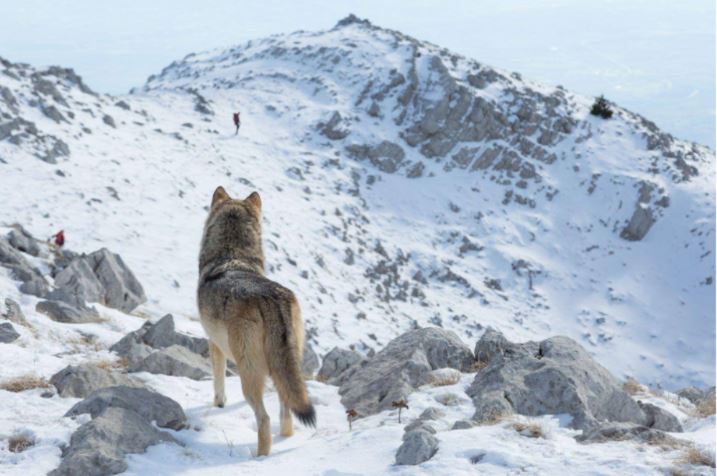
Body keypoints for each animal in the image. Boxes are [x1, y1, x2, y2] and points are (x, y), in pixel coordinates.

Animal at [197, 186, 316, 456]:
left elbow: (218, 381)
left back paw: (259, 456)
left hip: (249, 370)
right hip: (285, 365)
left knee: (264, 418)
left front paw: (219, 404)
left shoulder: (214, 344)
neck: (230, 255)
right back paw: (284, 440)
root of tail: (273, 298)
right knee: (286, 410)